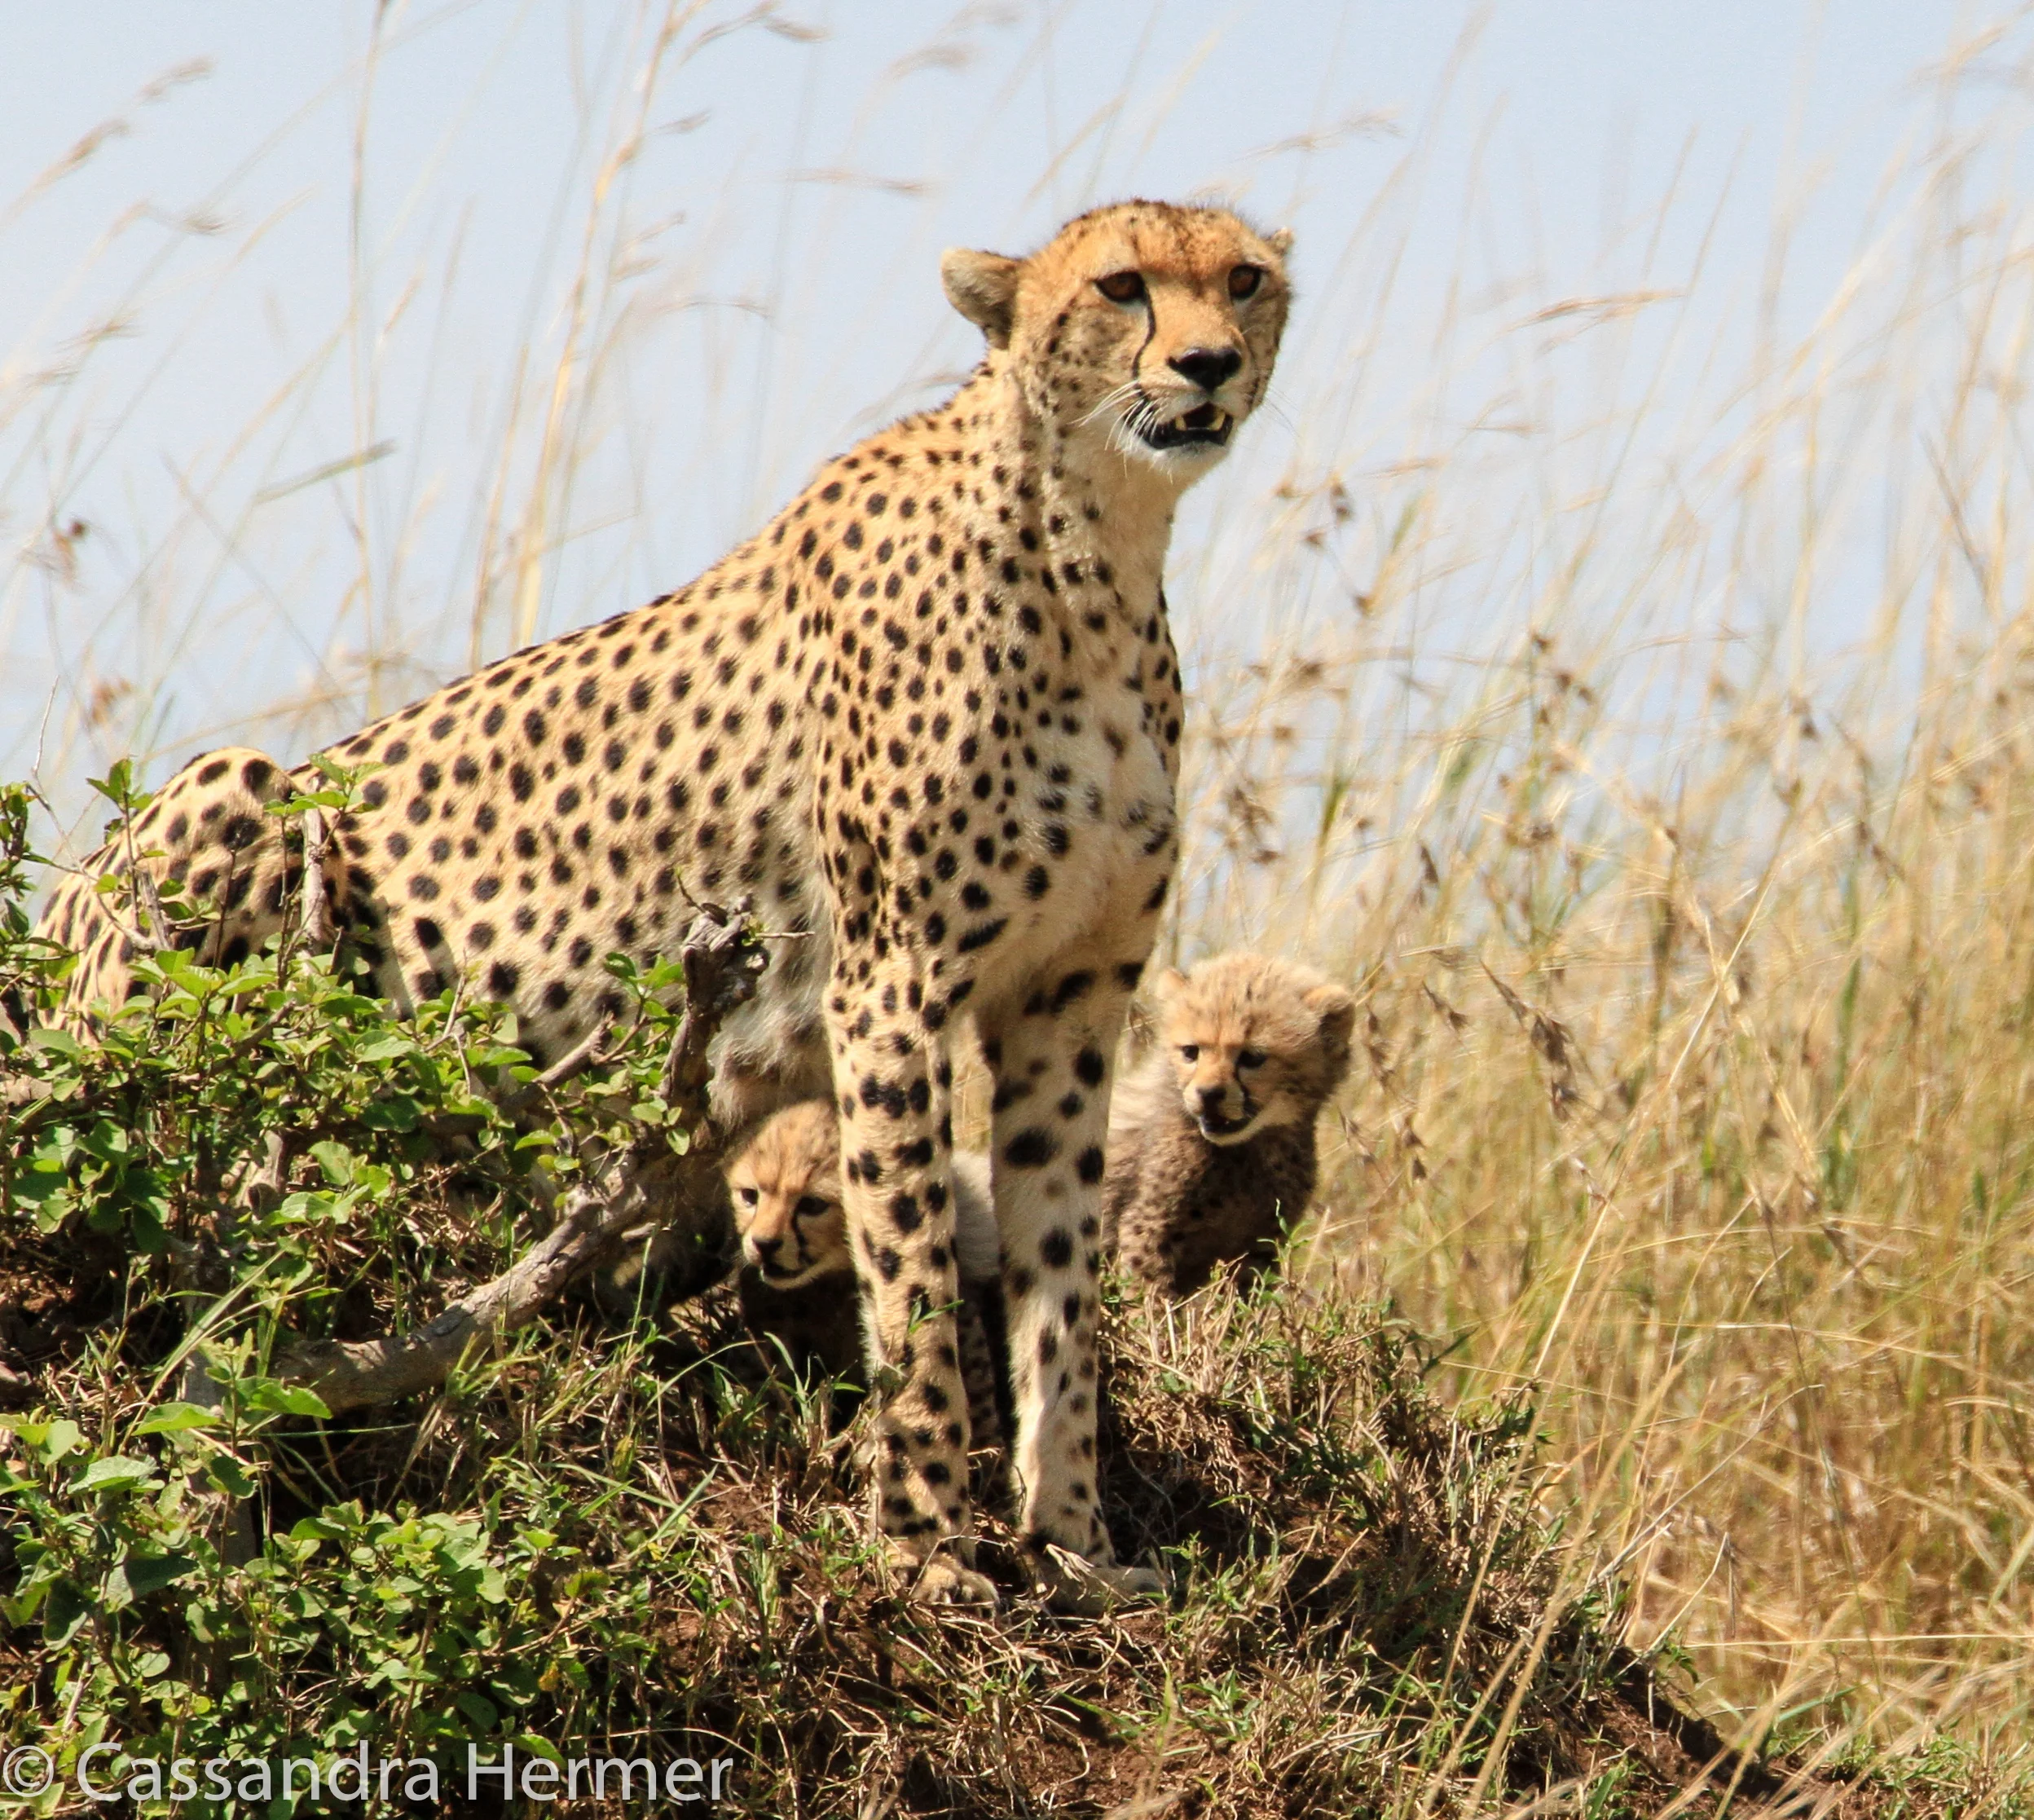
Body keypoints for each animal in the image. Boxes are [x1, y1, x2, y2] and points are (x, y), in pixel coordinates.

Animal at [1106, 952, 1355, 1298]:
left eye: (1252, 1057)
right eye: (1191, 1052)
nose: (1208, 1094)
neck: (1245, 1151)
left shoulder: (1259, 1245)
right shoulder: (1147, 1226)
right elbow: (1148, 1296)